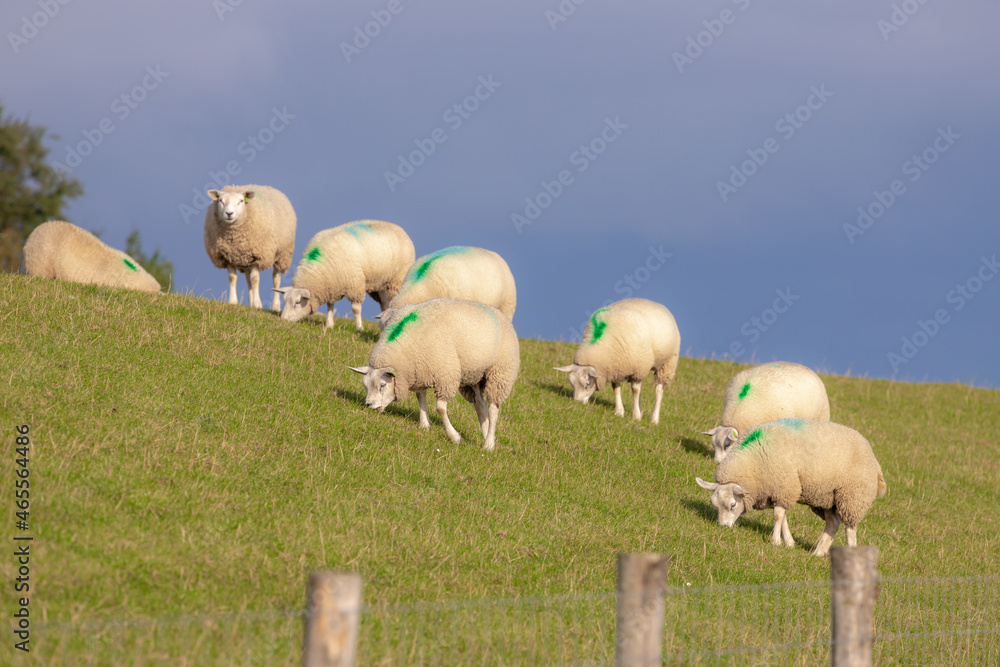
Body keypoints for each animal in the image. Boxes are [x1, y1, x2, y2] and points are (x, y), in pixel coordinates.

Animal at [276, 220, 414, 330]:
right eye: (284, 300)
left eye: (298, 302)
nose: (283, 319)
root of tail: (400, 229)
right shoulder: (331, 286)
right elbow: (330, 306)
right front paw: (329, 324)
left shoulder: (355, 284)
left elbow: (356, 309)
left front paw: (359, 327)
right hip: (381, 285)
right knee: (384, 303)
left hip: (397, 280)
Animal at [348, 297, 520, 451]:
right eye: (365, 386)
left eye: (383, 385)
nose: (369, 404)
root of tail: (501, 315)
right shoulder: (420, 371)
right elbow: (420, 397)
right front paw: (425, 424)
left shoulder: (446, 375)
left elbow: (440, 409)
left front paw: (455, 437)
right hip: (474, 377)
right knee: (480, 407)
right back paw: (486, 436)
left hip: (501, 373)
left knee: (493, 409)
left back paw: (489, 444)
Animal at [695, 418, 887, 557]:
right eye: (713, 505)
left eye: (733, 505)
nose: (723, 527)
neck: (754, 461)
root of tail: (875, 462)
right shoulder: (781, 490)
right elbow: (783, 517)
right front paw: (788, 542)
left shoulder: (784, 485)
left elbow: (778, 516)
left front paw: (775, 541)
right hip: (827, 497)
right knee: (833, 524)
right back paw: (818, 553)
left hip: (853, 496)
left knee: (850, 529)